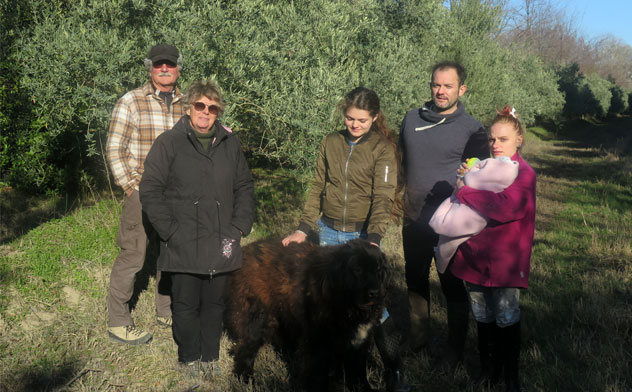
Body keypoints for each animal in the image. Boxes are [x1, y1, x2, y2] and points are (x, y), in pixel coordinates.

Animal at [225, 237, 388, 390]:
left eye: (378, 269)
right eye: (357, 269)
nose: (375, 293)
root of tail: (246, 250)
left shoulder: (359, 342)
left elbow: (358, 373)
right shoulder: (318, 344)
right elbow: (317, 377)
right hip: (258, 321)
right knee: (245, 351)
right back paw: (246, 380)